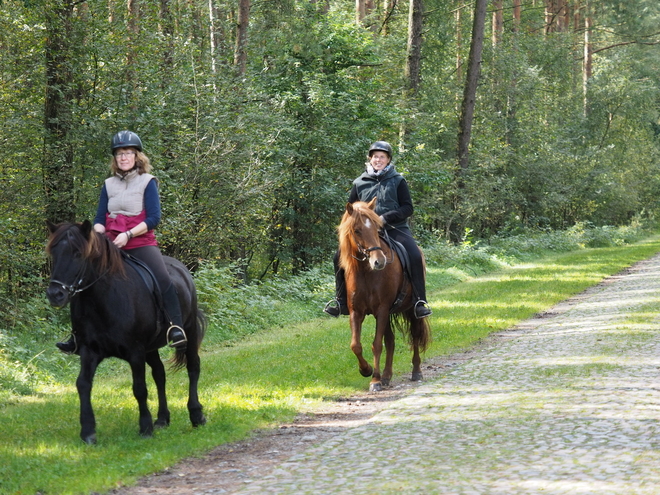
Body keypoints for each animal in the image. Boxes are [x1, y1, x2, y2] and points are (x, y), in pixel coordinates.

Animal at [45, 222, 206, 446]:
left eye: (78, 253)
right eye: (54, 252)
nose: (55, 295)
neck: (103, 299)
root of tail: (182, 270)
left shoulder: (135, 351)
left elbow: (139, 388)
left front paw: (145, 428)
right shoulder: (89, 350)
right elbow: (83, 384)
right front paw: (88, 431)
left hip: (187, 331)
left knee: (193, 367)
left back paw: (196, 415)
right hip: (151, 348)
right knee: (159, 374)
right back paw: (162, 419)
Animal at [338, 200, 430, 394]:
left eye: (376, 228)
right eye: (357, 230)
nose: (379, 261)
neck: (366, 272)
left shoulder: (381, 310)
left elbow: (377, 345)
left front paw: (375, 380)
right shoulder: (356, 312)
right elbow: (356, 345)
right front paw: (366, 370)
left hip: (411, 310)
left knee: (415, 336)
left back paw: (416, 371)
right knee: (391, 341)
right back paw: (387, 376)